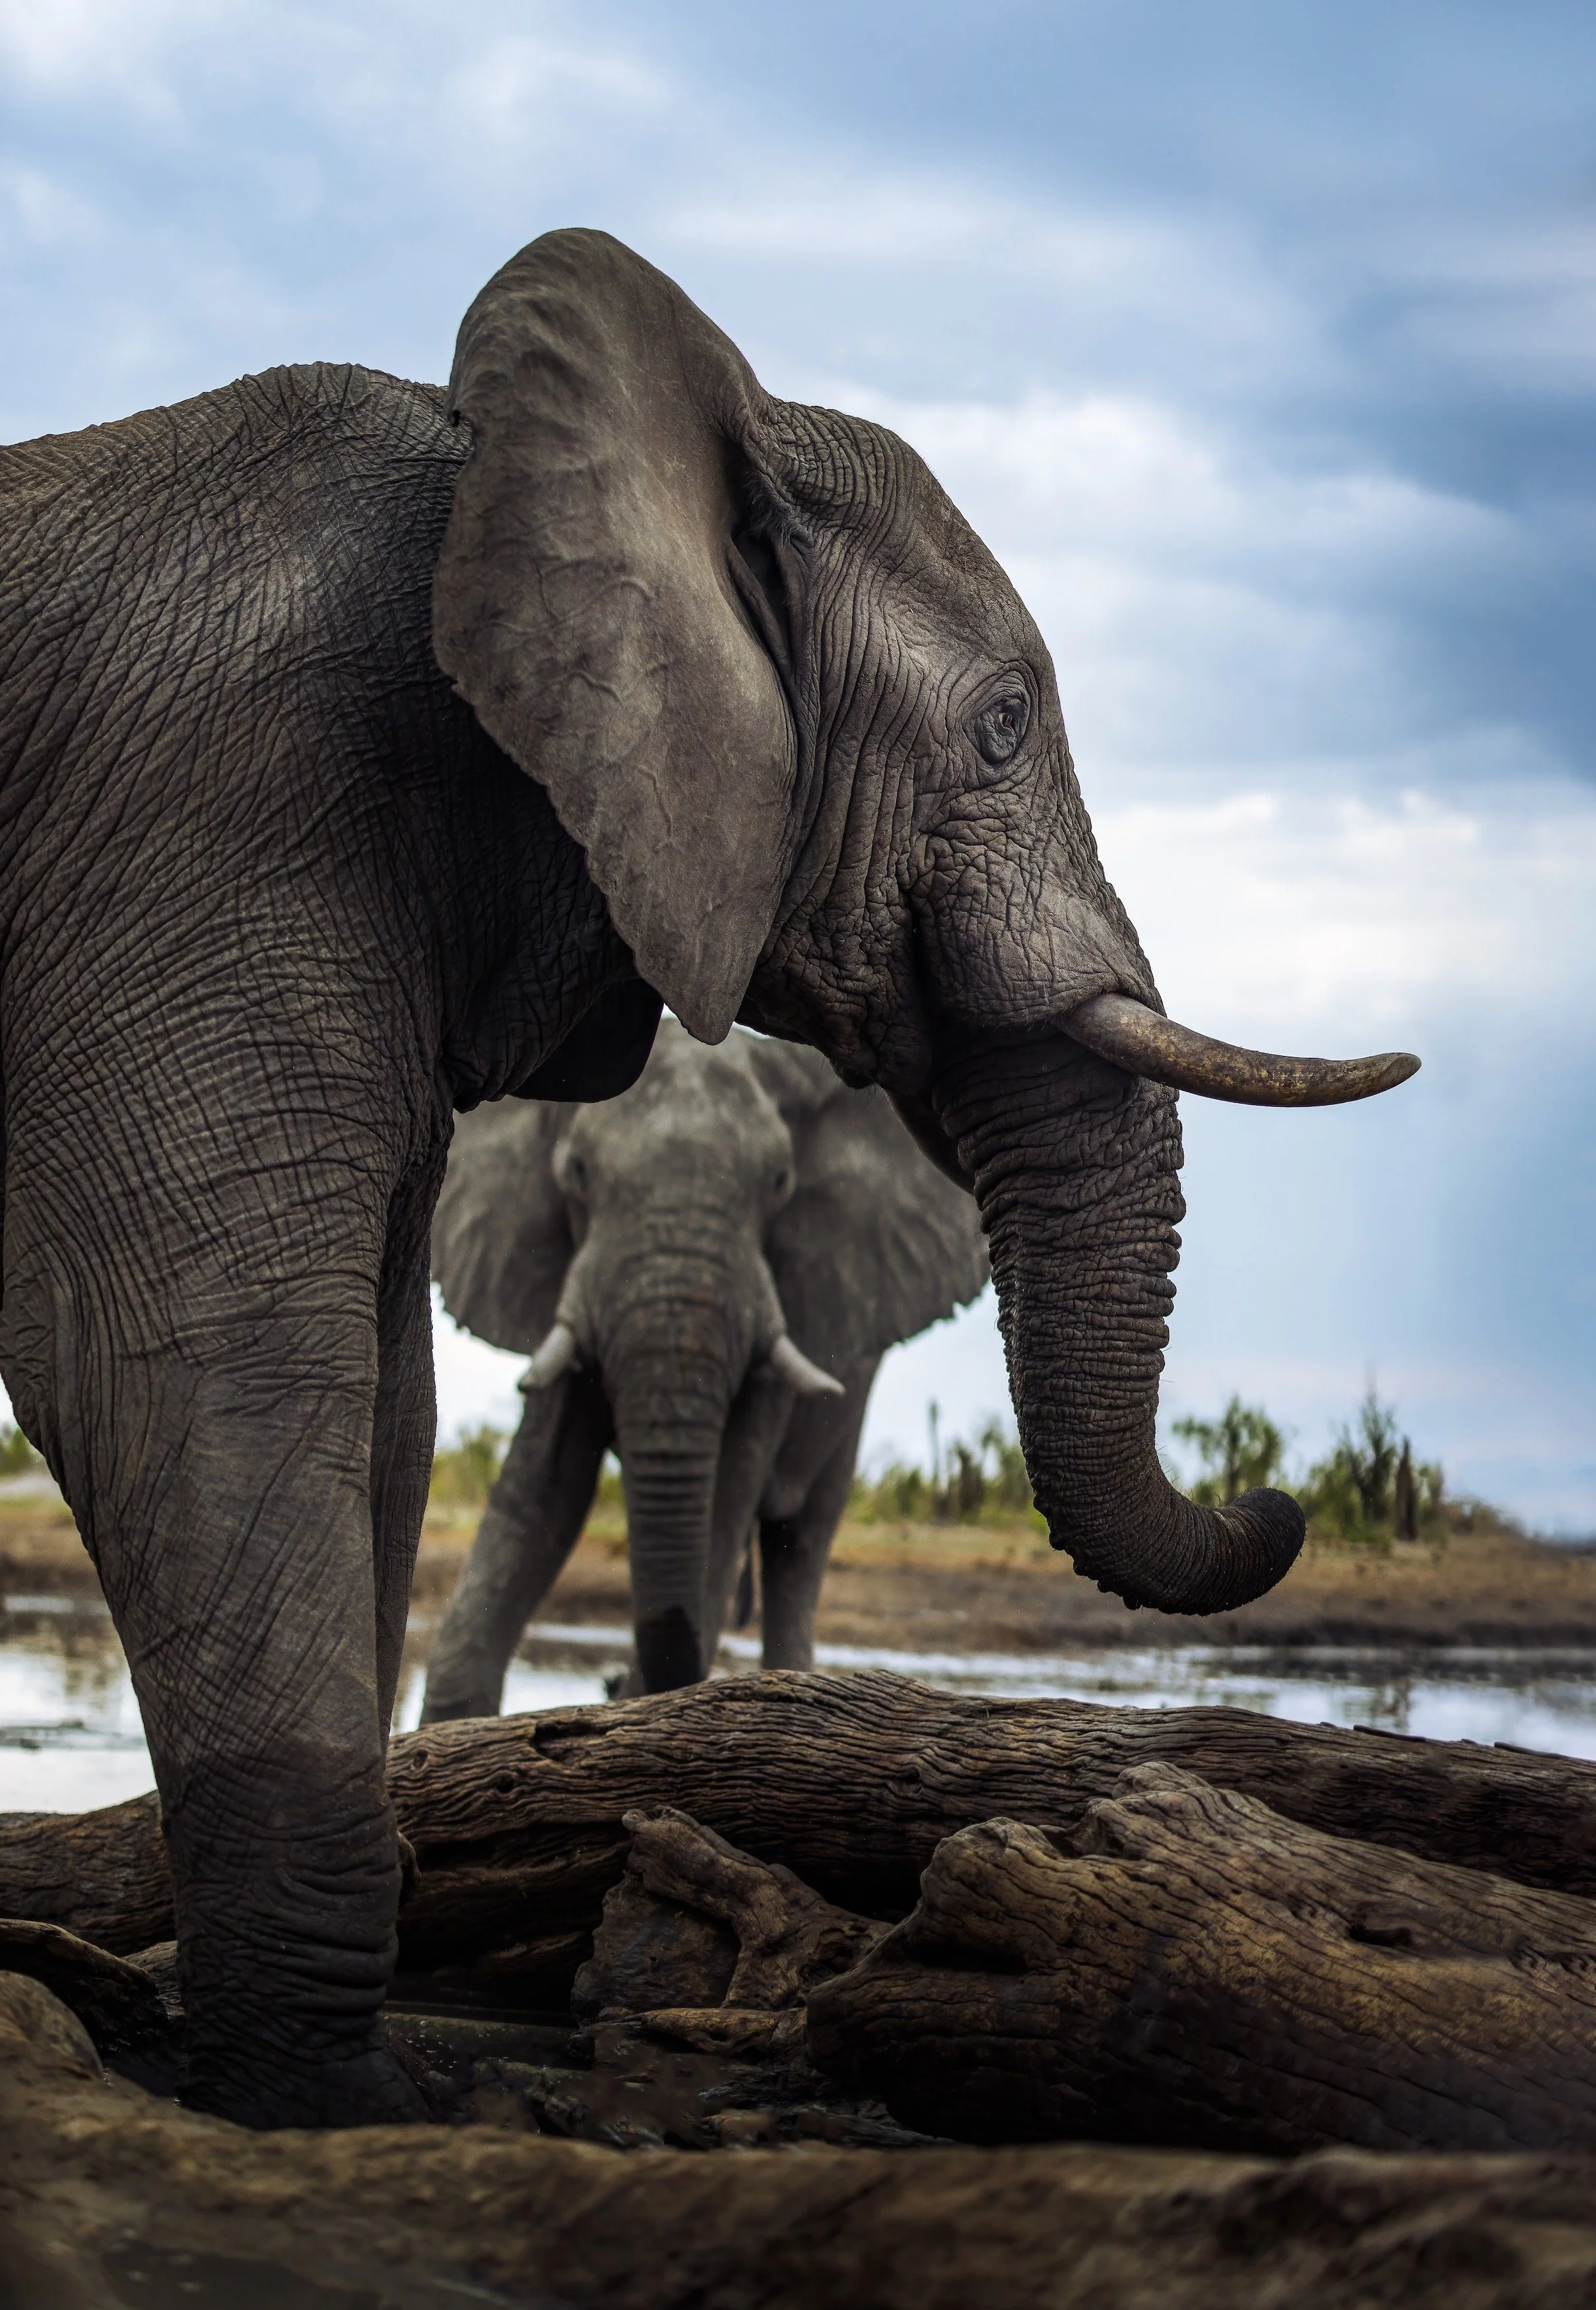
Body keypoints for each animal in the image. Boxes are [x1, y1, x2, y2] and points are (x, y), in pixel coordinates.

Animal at [421, 1020, 990, 1718]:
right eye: (576, 1174)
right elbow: (544, 1491)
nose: (609, 1681)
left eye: (780, 1182)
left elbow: (729, 1491)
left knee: (800, 1539)